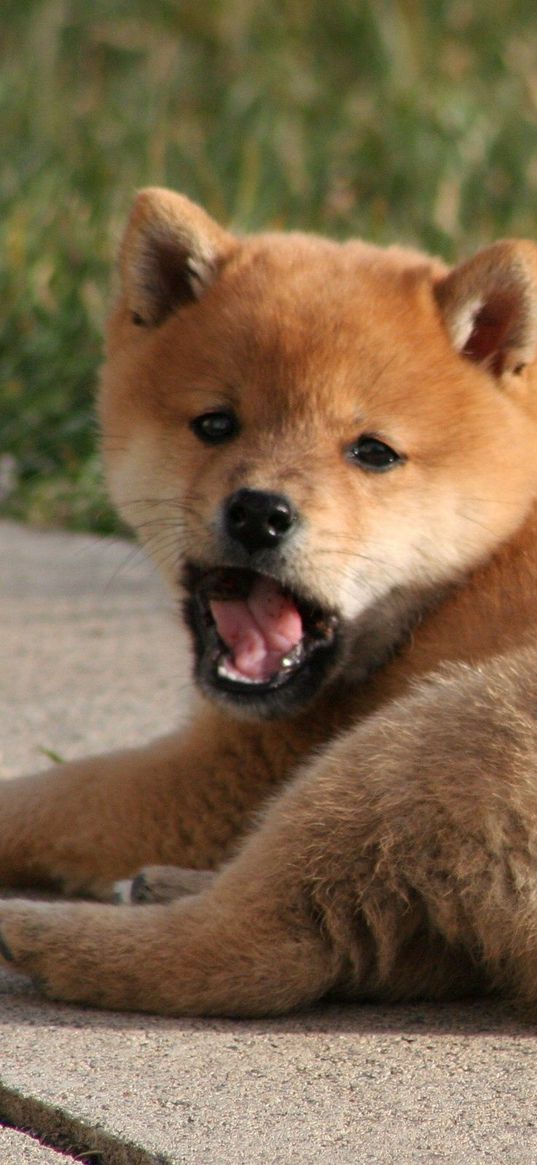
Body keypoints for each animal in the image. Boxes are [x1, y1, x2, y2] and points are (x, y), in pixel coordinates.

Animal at [2, 186, 535, 1015]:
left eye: (372, 452)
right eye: (215, 424)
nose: (259, 512)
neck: (469, 575)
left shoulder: (221, 773)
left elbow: (40, 794)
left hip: (432, 735)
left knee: (252, 944)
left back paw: (41, 927)